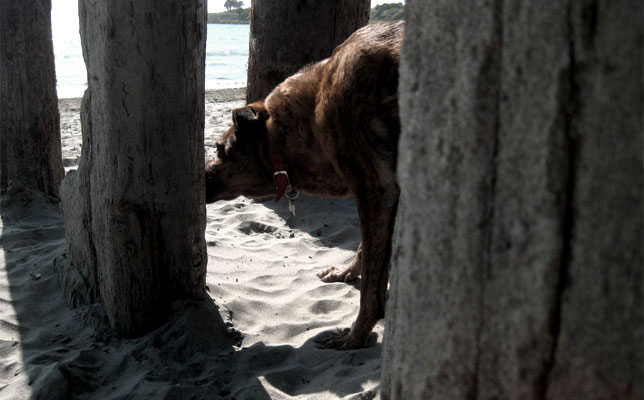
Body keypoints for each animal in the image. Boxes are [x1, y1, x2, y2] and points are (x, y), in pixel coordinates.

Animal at [206, 21, 402, 350]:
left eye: (220, 149)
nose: (199, 179)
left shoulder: (376, 191)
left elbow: (372, 289)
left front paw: (355, 336)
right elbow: (365, 251)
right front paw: (345, 272)